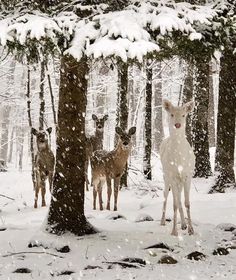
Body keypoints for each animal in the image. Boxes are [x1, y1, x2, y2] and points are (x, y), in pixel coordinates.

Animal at [160, 99, 195, 235]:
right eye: (172, 114)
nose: (178, 124)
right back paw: (162, 221)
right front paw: (174, 231)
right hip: (166, 176)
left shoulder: (188, 175)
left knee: (179, 197)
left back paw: (184, 225)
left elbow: (187, 203)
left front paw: (191, 230)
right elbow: (174, 204)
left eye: (184, 115)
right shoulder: (172, 175)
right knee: (166, 196)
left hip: (179, 180)